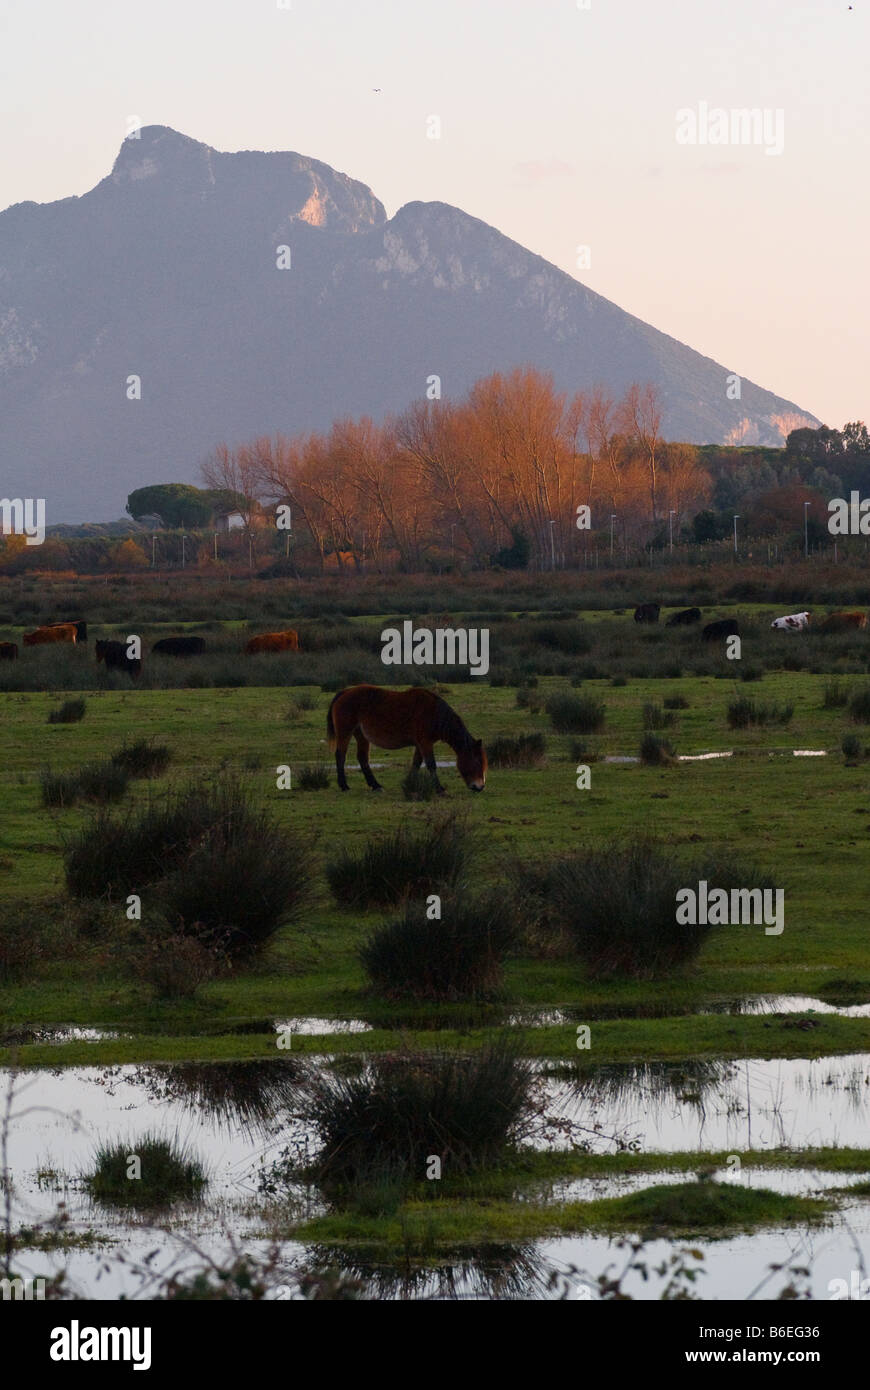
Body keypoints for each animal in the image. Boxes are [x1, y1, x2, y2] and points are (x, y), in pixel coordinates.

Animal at [326, 683, 489, 795]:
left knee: (362, 758)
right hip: (345, 733)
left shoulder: (420, 744)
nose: (480, 787)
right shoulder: (425, 743)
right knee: (340, 756)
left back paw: (376, 786)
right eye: (477, 762)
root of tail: (345, 692)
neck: (434, 714)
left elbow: (416, 764)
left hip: (361, 735)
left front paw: (410, 783)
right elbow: (431, 764)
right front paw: (439, 789)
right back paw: (344, 786)